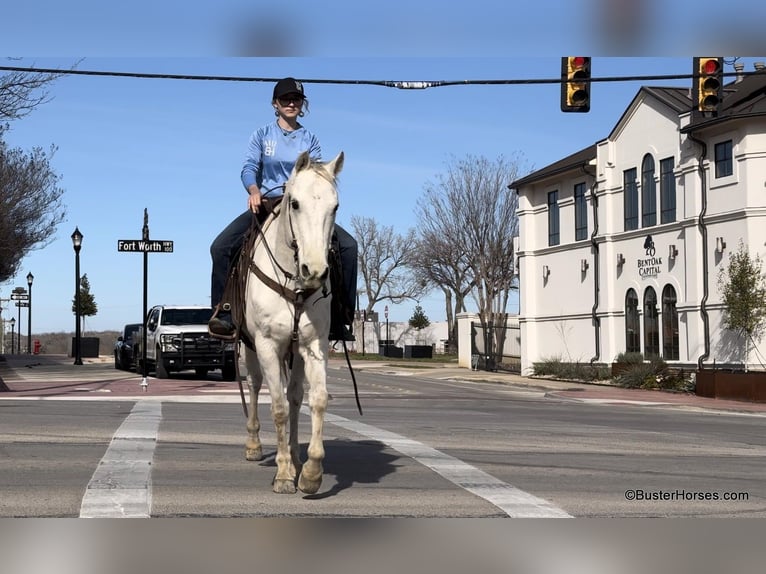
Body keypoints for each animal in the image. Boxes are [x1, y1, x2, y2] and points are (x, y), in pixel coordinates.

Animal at [243, 150, 344, 496]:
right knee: (255, 385)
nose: (315, 270)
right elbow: (278, 407)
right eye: (295, 203)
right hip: (250, 348)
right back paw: (254, 445)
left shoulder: (314, 344)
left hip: (295, 351)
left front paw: (310, 471)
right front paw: (285, 473)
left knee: (296, 396)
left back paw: (297, 456)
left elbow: (316, 400)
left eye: (335, 206)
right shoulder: (267, 344)